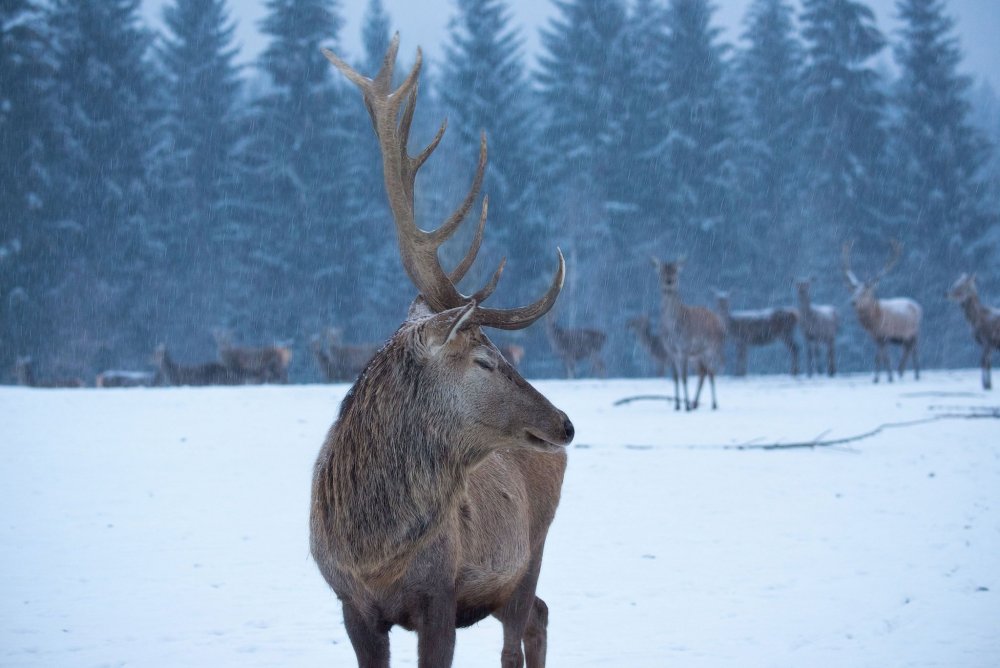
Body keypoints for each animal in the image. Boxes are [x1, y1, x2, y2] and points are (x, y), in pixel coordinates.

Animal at [312, 37, 580, 668]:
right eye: (482, 360)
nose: (564, 423)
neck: (373, 551)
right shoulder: (350, 603)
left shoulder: (441, 594)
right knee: (539, 615)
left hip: (528, 555)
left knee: (520, 633)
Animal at [652, 258, 724, 410]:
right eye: (662, 271)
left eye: (675, 271)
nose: (669, 281)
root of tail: (719, 322)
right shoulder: (670, 351)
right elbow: (675, 377)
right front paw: (677, 405)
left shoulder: (684, 348)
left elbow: (684, 377)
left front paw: (685, 407)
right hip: (696, 355)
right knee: (702, 372)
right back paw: (695, 403)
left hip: (712, 348)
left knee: (711, 372)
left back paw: (713, 404)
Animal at [844, 241, 920, 384]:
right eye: (854, 291)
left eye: (865, 292)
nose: (852, 302)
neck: (875, 322)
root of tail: (918, 306)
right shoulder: (877, 337)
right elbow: (878, 357)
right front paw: (877, 378)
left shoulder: (885, 335)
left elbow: (885, 357)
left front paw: (889, 378)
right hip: (903, 337)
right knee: (906, 349)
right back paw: (900, 372)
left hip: (914, 332)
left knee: (914, 349)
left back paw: (916, 375)